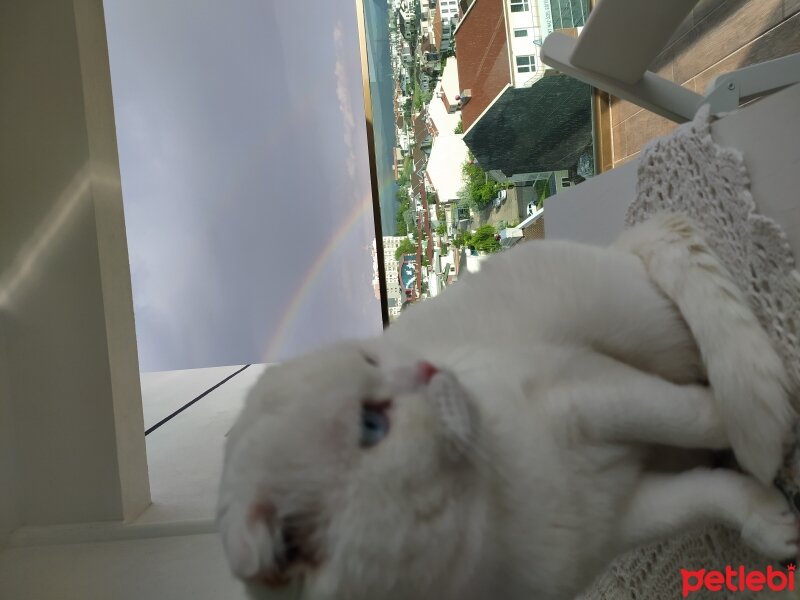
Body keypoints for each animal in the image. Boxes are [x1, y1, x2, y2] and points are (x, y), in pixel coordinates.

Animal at [216, 213, 796, 596]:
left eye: (372, 358)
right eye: (371, 426)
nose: (428, 367)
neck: (490, 514)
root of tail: (616, 246)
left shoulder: (590, 391)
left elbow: (698, 416)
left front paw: (752, 458)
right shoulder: (621, 519)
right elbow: (705, 496)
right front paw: (769, 518)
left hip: (634, 328)